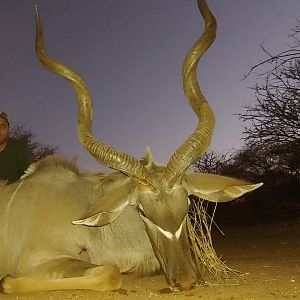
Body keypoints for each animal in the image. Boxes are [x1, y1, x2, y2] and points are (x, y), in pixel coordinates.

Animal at [0, 0, 262, 294]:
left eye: (187, 205)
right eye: (143, 211)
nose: (185, 281)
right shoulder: (38, 259)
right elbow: (109, 273)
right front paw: (7, 281)